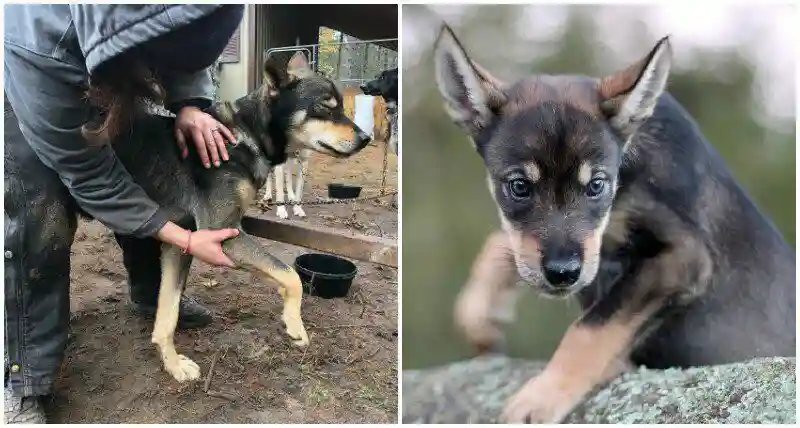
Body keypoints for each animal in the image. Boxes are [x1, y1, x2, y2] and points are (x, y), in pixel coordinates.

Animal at [434, 22, 796, 422]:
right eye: (518, 186)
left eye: (596, 185)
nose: (562, 274)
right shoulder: (590, 248)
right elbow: (503, 246)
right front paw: (481, 315)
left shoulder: (683, 256)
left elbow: (591, 327)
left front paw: (542, 396)